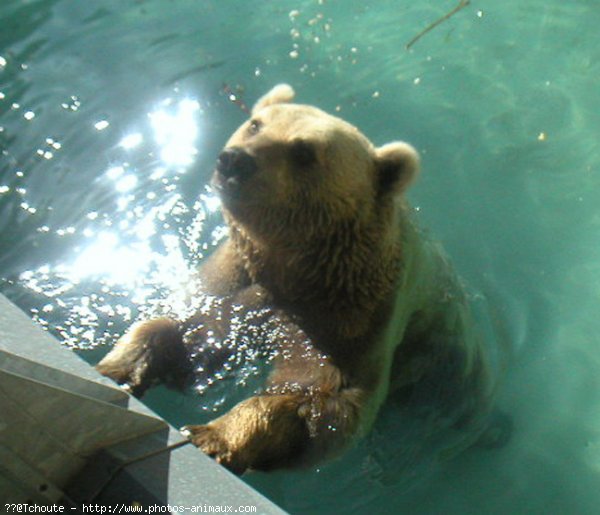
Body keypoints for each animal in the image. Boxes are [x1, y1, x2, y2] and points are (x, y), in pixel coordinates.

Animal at [97, 84, 506, 476]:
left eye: (304, 151)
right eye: (256, 124)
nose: (234, 159)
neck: (296, 264)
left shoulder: (354, 311)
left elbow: (326, 398)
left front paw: (215, 435)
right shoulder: (239, 277)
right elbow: (194, 332)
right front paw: (120, 366)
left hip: (451, 370)